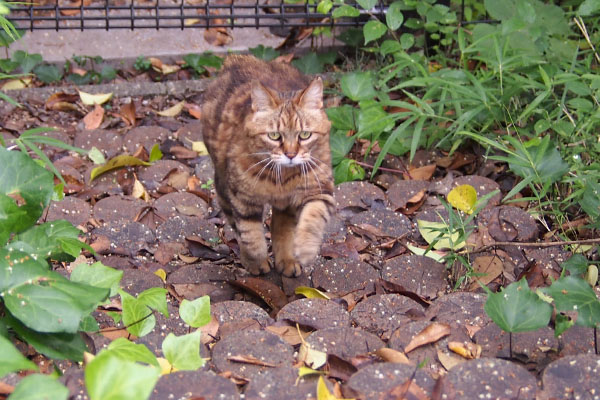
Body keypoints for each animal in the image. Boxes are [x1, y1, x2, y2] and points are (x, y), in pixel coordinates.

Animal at [200, 54, 332, 276]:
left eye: (305, 135)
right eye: (274, 136)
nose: (290, 154)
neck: (283, 177)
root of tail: (236, 59)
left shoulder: (320, 189)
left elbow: (313, 218)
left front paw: (304, 249)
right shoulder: (242, 198)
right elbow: (249, 232)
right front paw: (256, 257)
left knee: (281, 226)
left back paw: (287, 258)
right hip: (223, 189)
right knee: (237, 226)